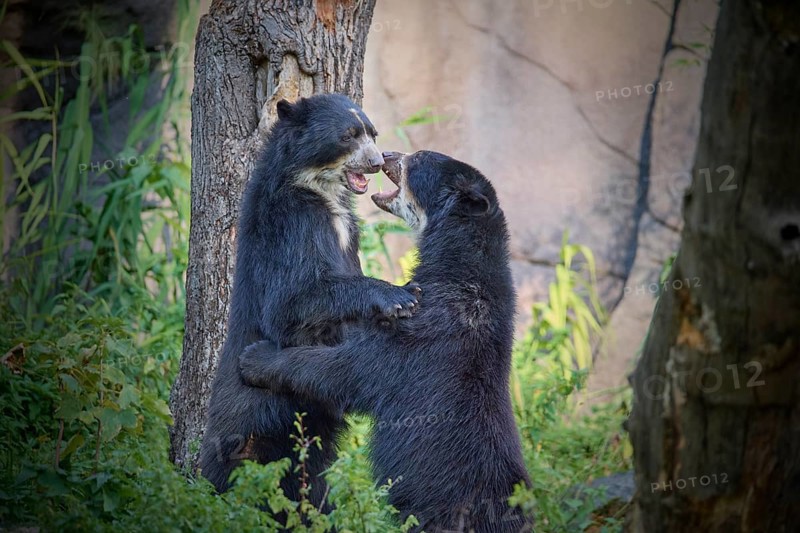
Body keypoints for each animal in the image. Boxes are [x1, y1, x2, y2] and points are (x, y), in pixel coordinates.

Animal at [198, 95, 421, 508]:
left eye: (372, 133)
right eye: (348, 136)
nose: (377, 161)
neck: (318, 189)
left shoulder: (348, 232)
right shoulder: (291, 224)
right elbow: (290, 302)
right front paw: (398, 297)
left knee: (310, 483)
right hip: (252, 426)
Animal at [238, 150, 533, 532]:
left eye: (417, 159)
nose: (388, 155)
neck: (461, 266)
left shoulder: (423, 334)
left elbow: (350, 368)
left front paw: (255, 358)